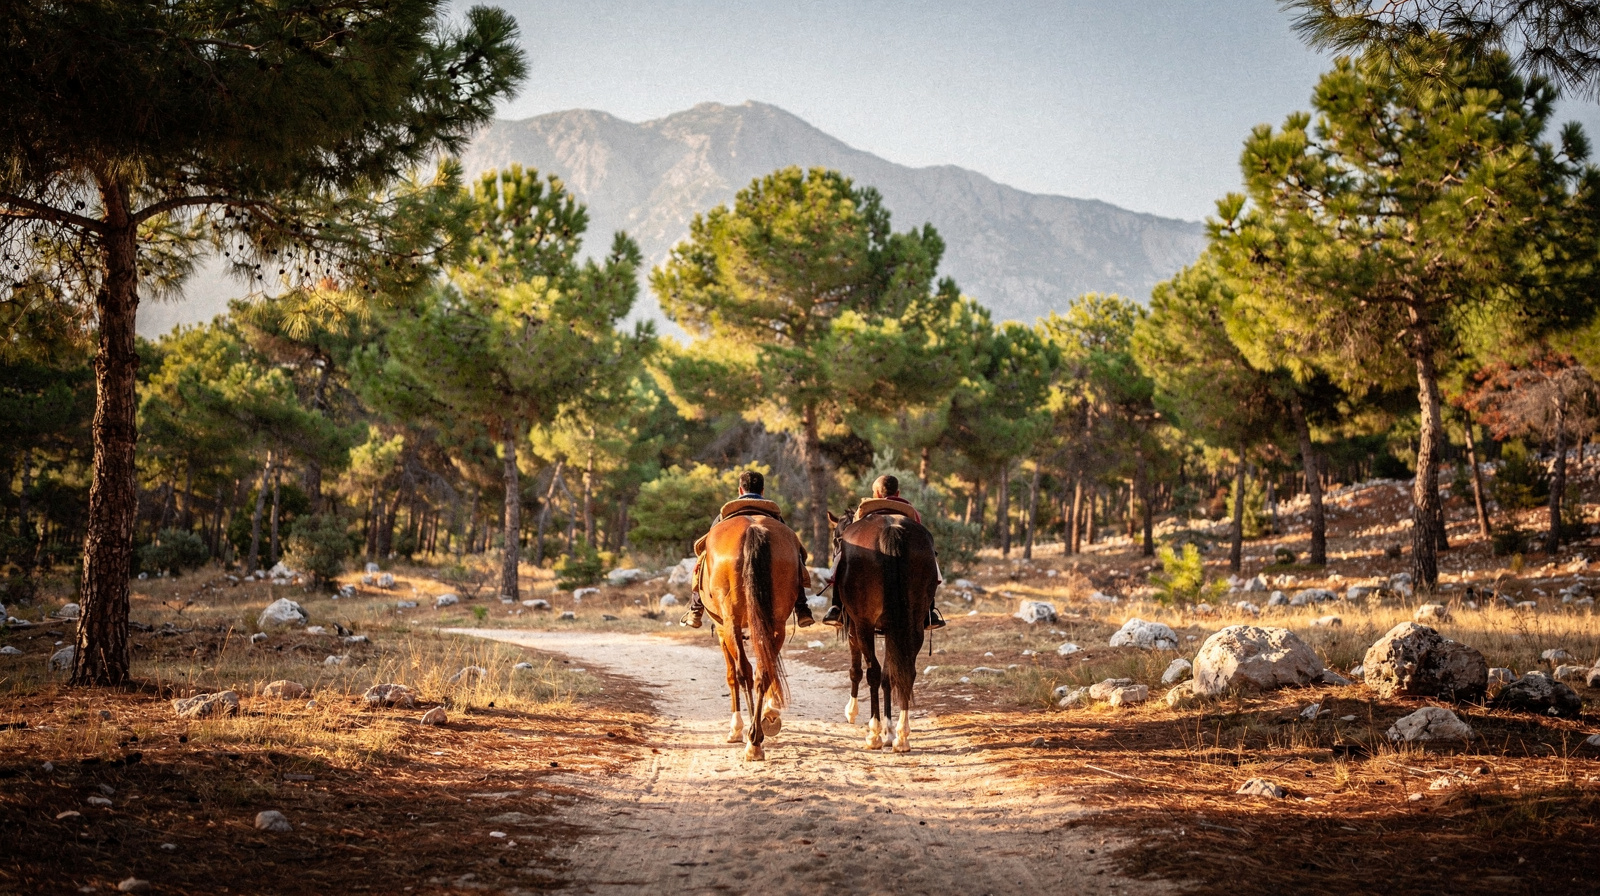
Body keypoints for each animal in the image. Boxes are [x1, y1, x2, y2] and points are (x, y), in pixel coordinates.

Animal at [699, 512, 807, 761]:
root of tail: (753, 528)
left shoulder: (722, 630)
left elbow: (731, 675)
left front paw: (735, 729)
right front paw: (771, 713)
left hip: (730, 623)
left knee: (744, 673)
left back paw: (751, 738)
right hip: (775, 621)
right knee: (763, 672)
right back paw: (756, 738)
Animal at [827, 505, 939, 752]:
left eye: (836, 539)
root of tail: (891, 530)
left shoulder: (855, 628)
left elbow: (857, 671)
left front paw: (853, 712)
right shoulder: (892, 631)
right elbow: (890, 675)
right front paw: (890, 730)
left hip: (864, 626)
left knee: (873, 672)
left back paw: (874, 734)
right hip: (912, 624)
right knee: (906, 672)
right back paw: (901, 736)